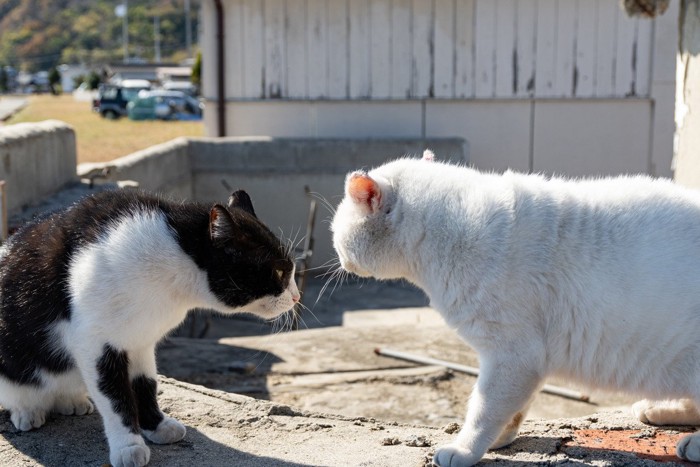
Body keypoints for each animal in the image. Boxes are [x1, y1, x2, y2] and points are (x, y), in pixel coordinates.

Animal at [0, 189, 298, 467]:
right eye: (279, 272)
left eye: (292, 269)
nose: (296, 297)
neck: (172, 256)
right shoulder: (95, 342)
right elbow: (115, 397)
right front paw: (128, 445)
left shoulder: (140, 338)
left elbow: (145, 384)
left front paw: (156, 425)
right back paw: (27, 411)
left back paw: (70, 401)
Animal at [330, 152, 700, 466]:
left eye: (336, 233)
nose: (340, 260)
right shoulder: (527, 362)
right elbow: (514, 408)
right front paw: (500, 439)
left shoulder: (513, 355)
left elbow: (484, 410)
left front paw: (465, 449)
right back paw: (659, 410)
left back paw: (692, 442)